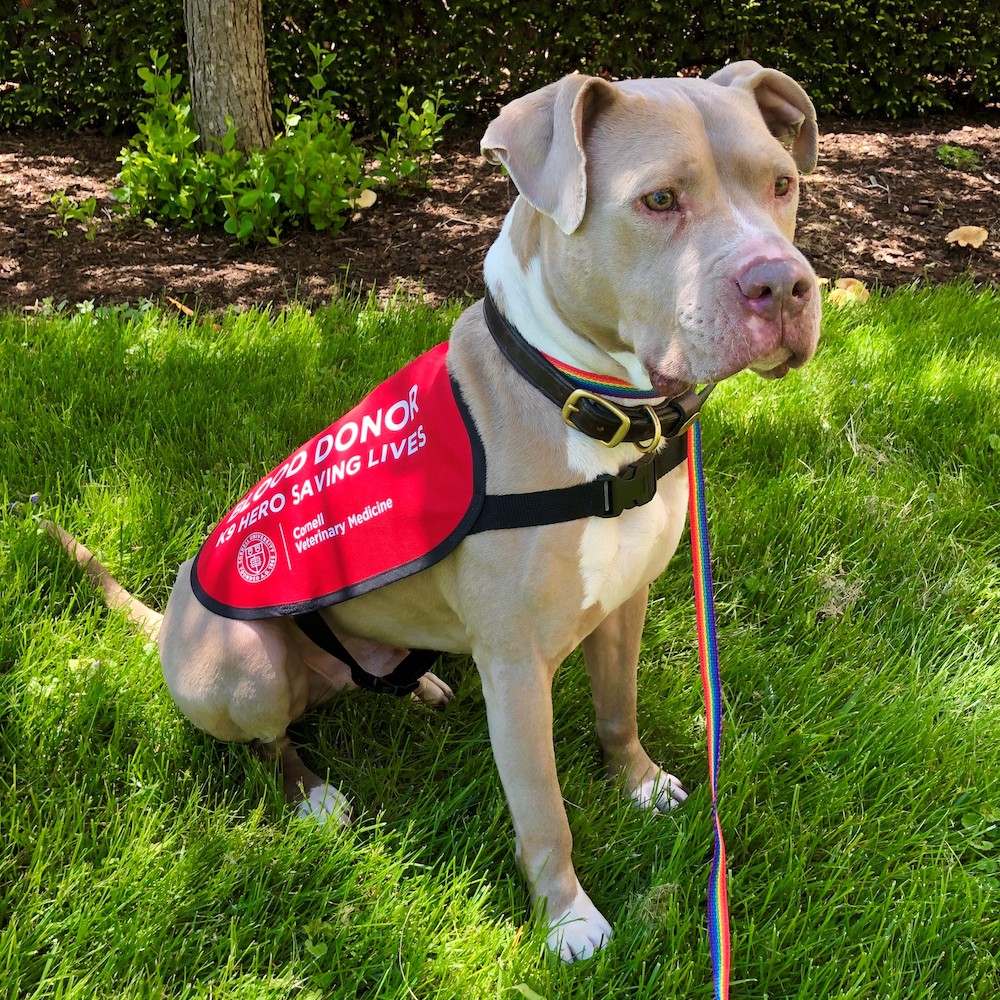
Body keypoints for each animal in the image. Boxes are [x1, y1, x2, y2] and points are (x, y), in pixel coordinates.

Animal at [45, 60, 820, 960]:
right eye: (660, 199)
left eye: (782, 184)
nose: (784, 283)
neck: (587, 403)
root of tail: (167, 619)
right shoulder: (517, 668)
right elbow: (543, 810)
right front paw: (569, 918)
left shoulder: (624, 603)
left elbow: (616, 711)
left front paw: (639, 782)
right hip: (241, 669)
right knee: (272, 741)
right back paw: (313, 795)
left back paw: (417, 685)